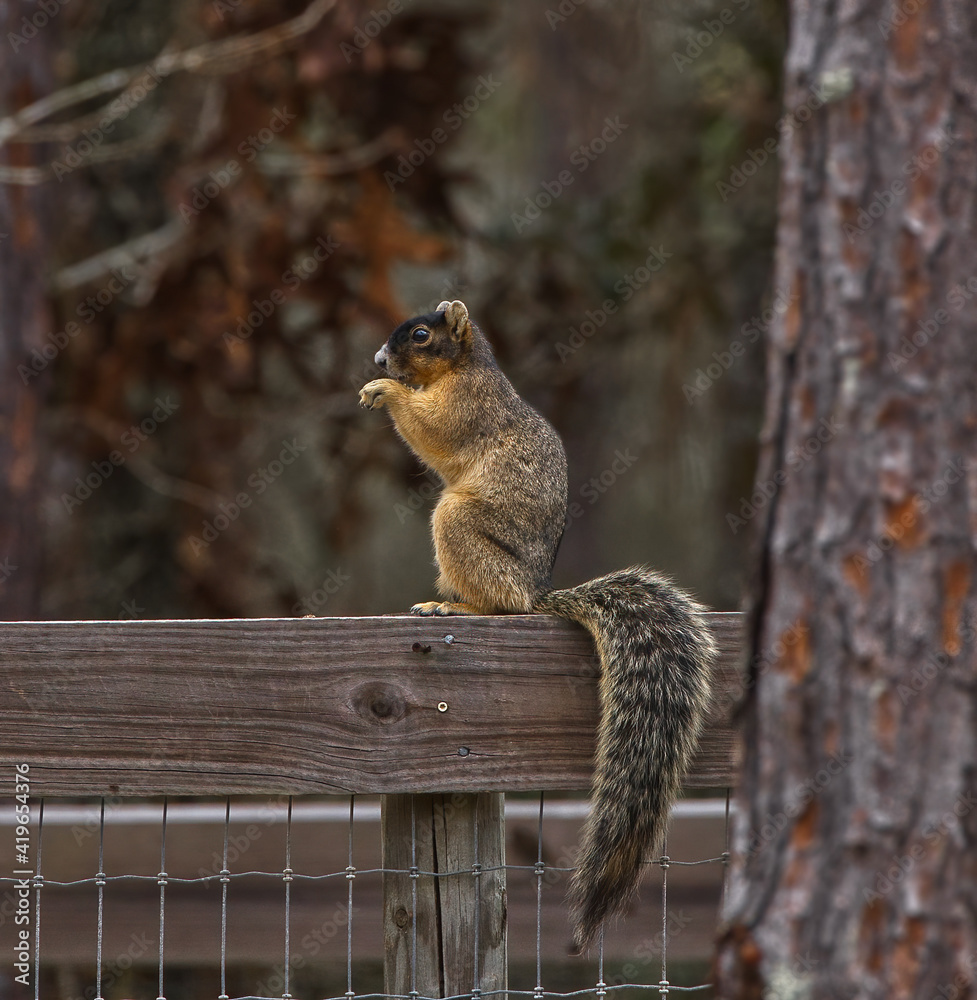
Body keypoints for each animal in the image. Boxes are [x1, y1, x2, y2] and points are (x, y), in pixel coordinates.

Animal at [360, 298, 716, 952]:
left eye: (420, 336)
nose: (377, 359)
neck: (462, 368)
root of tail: (537, 590)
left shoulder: (469, 406)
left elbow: (436, 429)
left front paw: (383, 392)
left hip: (459, 526)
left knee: (504, 605)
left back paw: (457, 608)